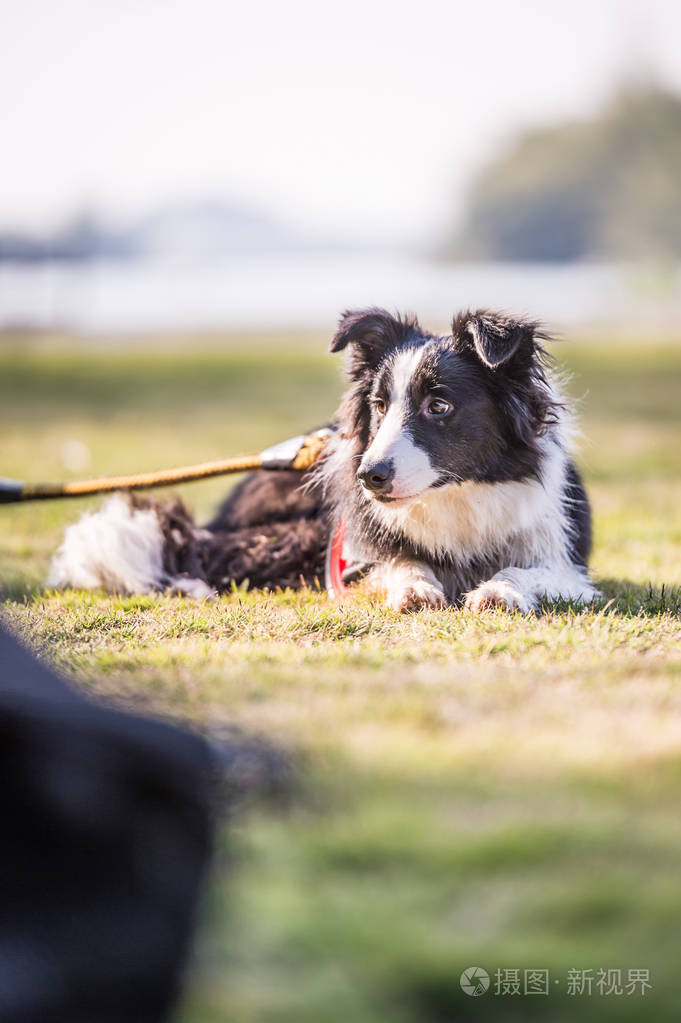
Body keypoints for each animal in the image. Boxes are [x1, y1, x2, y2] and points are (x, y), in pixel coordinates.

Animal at [50, 302, 597, 605]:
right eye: (380, 406)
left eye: (439, 406)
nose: (370, 477)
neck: (456, 496)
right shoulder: (355, 553)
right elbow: (399, 562)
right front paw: (414, 587)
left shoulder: (566, 562)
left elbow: (526, 570)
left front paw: (499, 590)